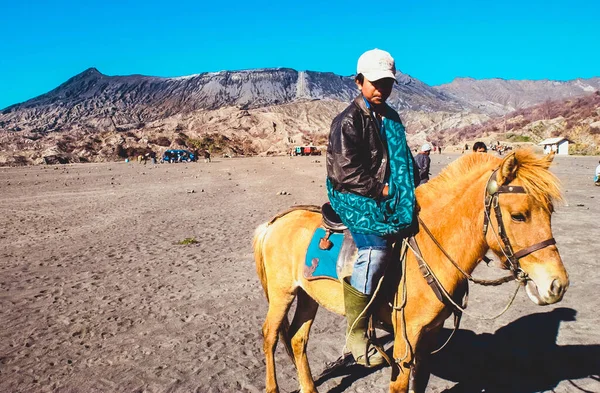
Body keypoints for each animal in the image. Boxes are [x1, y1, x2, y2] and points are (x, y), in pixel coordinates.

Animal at [252, 149, 568, 390]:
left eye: (550, 211)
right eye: (518, 215)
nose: (557, 285)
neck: (432, 251)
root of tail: (275, 222)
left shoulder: (428, 338)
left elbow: (421, 382)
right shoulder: (406, 341)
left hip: (308, 295)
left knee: (297, 338)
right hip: (282, 294)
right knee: (270, 335)